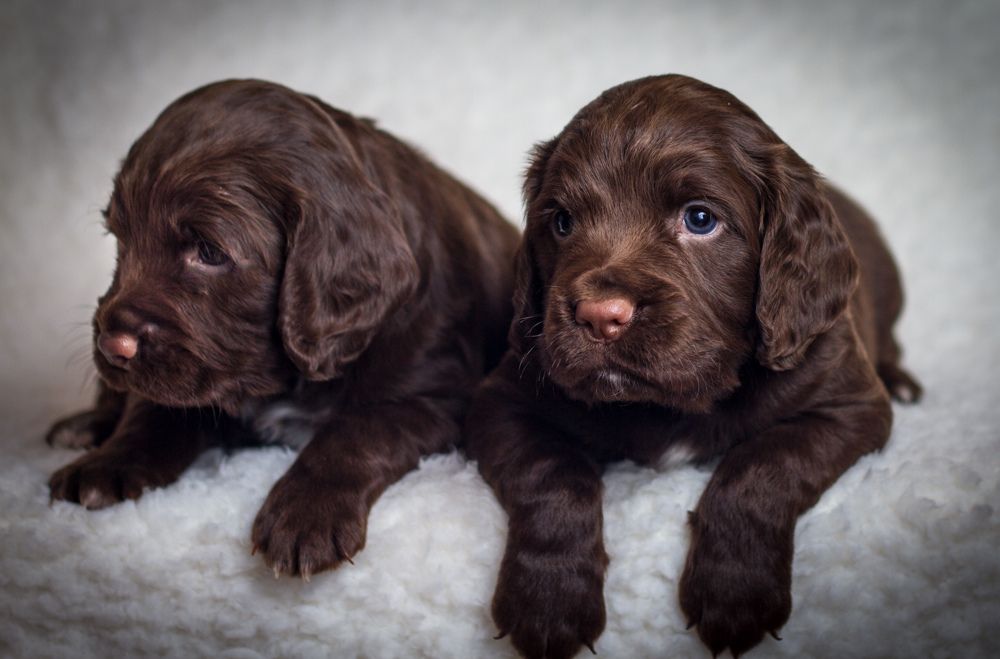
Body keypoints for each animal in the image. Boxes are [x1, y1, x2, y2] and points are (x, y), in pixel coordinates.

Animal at [46, 79, 519, 579]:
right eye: (120, 238)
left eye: (209, 252)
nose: (111, 345)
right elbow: (154, 411)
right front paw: (107, 462)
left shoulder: (435, 394)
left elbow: (359, 430)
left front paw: (306, 516)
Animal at [464, 74, 921, 658]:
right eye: (562, 222)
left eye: (700, 219)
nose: (600, 316)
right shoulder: (503, 399)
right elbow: (553, 473)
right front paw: (548, 601)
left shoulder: (848, 404)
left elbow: (761, 466)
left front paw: (735, 593)